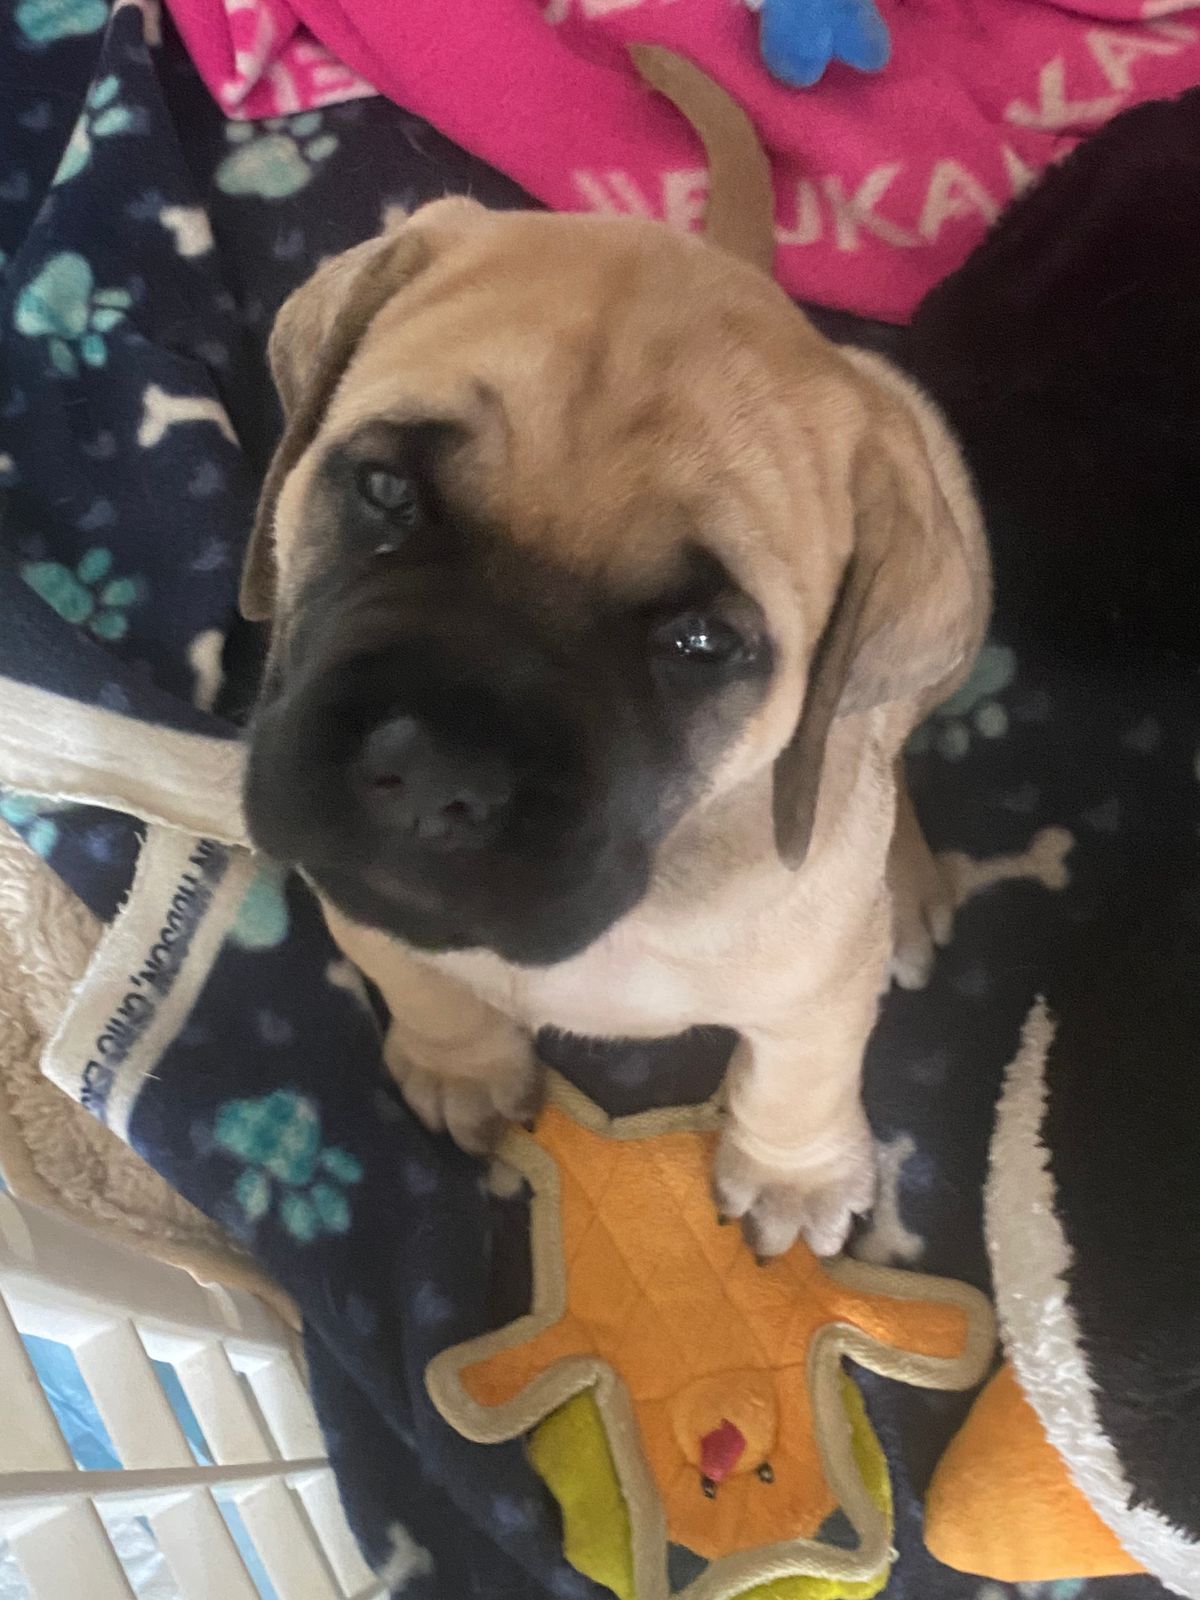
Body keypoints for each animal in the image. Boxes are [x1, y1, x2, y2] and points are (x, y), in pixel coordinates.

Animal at [242, 52, 990, 1258]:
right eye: (388, 489)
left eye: (702, 642)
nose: (435, 777)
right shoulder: (349, 879)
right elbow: (415, 971)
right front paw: (461, 1063)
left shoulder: (817, 983)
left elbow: (806, 1067)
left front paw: (793, 1173)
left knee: (888, 741)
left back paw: (910, 875)